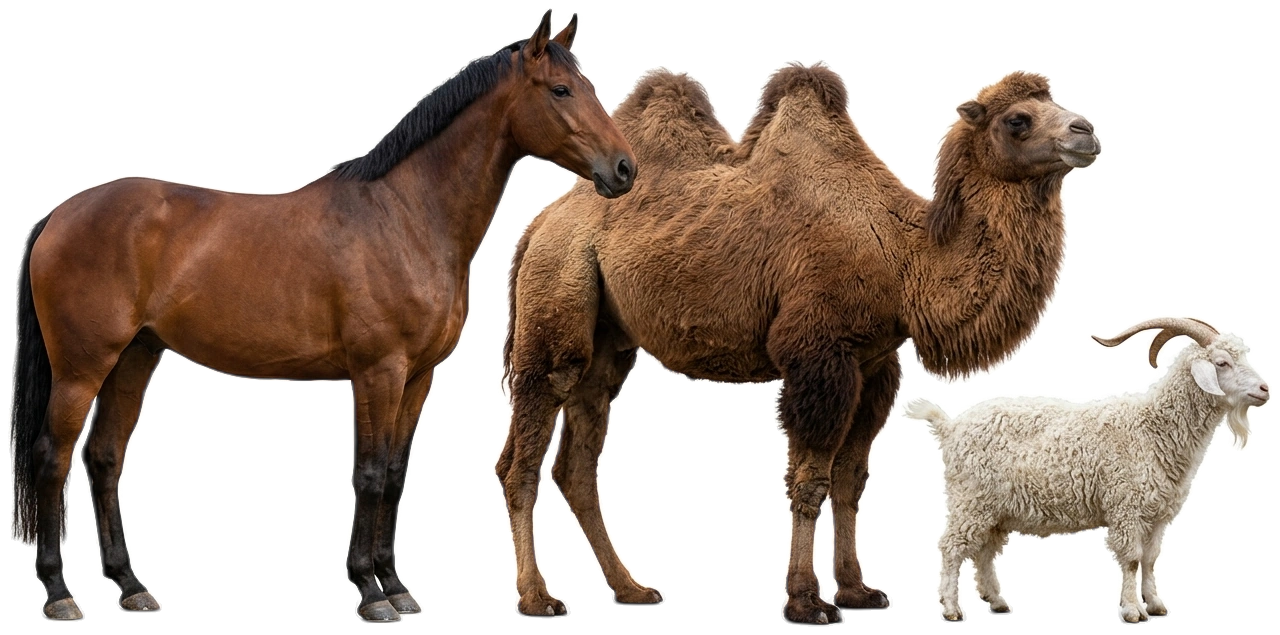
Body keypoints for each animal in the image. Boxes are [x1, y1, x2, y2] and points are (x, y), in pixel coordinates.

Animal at [7, 10, 634, 623]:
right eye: (560, 89)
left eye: (588, 86)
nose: (624, 169)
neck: (407, 215)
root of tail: (56, 217)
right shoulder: (377, 372)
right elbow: (369, 473)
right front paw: (371, 593)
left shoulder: (417, 377)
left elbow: (395, 476)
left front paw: (397, 588)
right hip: (83, 368)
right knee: (52, 458)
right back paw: (60, 596)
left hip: (135, 357)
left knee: (103, 457)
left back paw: (133, 589)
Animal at [496, 63, 1100, 624]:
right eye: (1017, 119)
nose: (1087, 131)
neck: (903, 257)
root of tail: (536, 227)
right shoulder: (818, 355)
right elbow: (810, 483)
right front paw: (807, 602)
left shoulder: (874, 364)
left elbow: (851, 482)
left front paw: (858, 591)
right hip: (556, 297)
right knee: (522, 455)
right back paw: (537, 599)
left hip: (609, 342)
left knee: (576, 462)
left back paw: (632, 589)